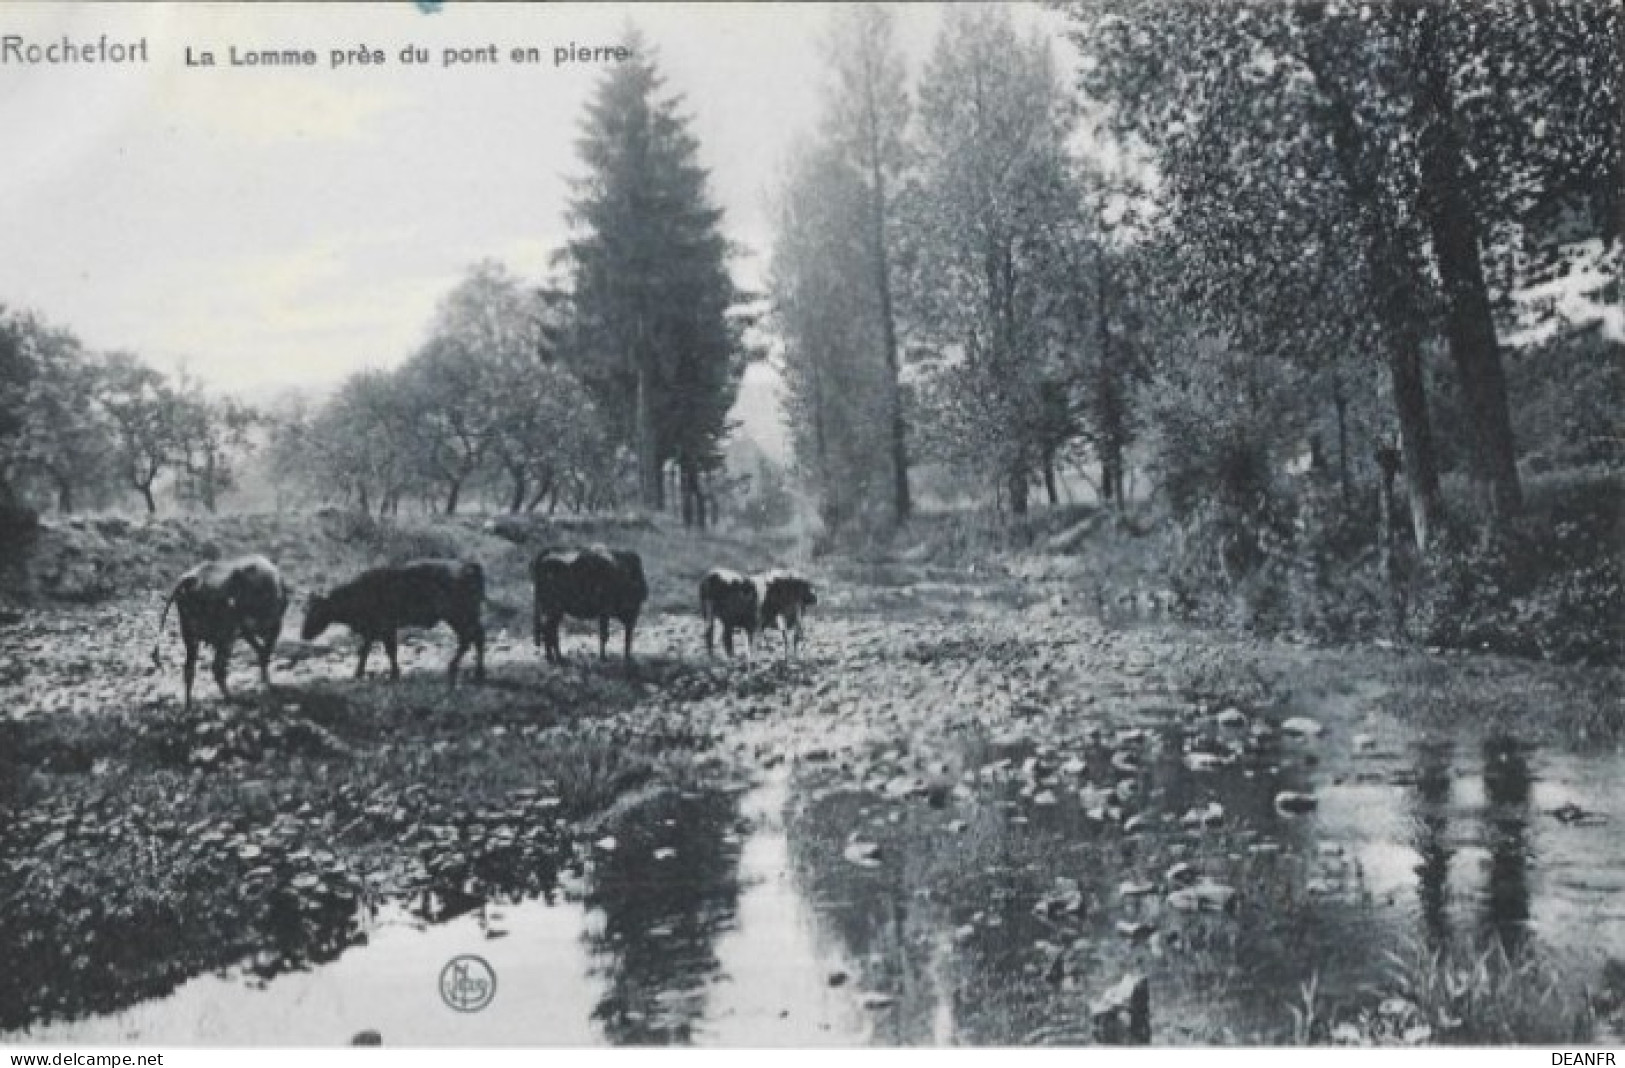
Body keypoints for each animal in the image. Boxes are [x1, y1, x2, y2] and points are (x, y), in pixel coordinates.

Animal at [152, 549, 292, 708]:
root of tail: (192, 578)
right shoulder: (274, 626)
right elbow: (265, 654)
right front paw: (268, 686)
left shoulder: (246, 632)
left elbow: (261, 652)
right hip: (225, 638)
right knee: (217, 669)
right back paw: (233, 699)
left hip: (190, 636)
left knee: (189, 670)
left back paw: (188, 706)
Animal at [302, 559, 484, 682]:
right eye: (305, 610)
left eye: (316, 611)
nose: (304, 634)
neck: (359, 591)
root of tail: (469, 566)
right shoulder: (373, 631)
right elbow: (365, 650)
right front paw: (358, 673)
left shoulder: (386, 628)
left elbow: (390, 651)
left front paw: (394, 674)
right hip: (461, 618)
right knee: (472, 639)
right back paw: (467, 670)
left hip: (458, 616)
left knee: (473, 638)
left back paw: (468, 670)